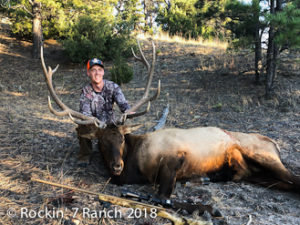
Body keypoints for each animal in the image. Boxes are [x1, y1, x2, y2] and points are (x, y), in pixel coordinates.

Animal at [41, 42, 298, 199]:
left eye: (122, 139)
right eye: (102, 142)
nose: (116, 166)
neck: (135, 164)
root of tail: (274, 143)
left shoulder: (176, 156)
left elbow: (162, 192)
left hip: (263, 154)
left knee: (294, 179)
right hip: (256, 171)